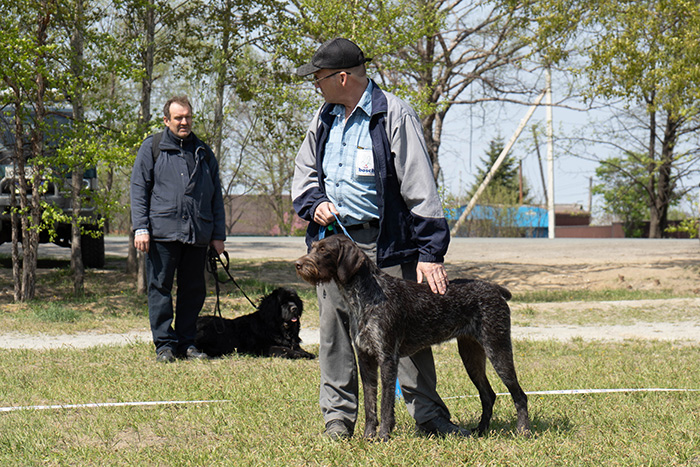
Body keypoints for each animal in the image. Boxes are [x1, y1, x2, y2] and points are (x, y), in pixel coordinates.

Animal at [296, 238, 532, 442]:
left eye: (324, 250)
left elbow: (385, 403)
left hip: (498, 348)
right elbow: (369, 403)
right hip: (471, 355)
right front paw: (368, 437)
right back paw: (481, 430)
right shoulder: (366, 359)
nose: (298, 264)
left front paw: (383, 436)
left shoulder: (387, 358)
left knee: (519, 394)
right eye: (313, 246)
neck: (363, 296)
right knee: (488, 395)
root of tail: (494, 289)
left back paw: (523, 431)